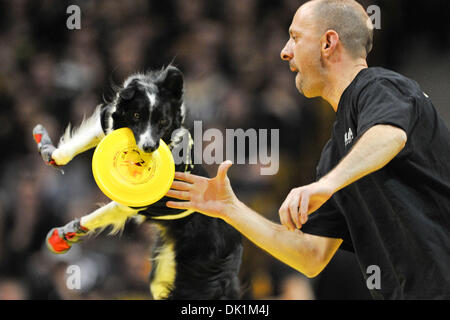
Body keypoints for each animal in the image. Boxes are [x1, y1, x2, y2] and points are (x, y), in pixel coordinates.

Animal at [32, 65, 243, 300]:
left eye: (163, 122)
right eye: (136, 115)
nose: (149, 147)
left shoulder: (131, 203)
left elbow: (96, 216)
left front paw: (63, 235)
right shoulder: (107, 123)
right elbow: (67, 152)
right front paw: (45, 145)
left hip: (193, 279)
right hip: (162, 270)